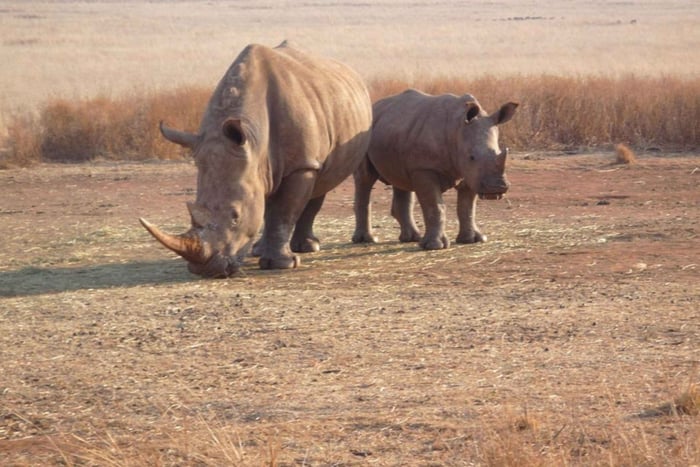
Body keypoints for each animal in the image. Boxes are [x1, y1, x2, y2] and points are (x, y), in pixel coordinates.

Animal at [140, 41, 372, 277]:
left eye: (235, 216)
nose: (206, 270)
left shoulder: (300, 165)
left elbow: (284, 211)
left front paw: (281, 264)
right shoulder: (256, 165)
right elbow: (269, 208)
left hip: (318, 147)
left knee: (321, 181)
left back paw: (307, 248)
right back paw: (262, 250)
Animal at [352, 89, 518, 249]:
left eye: (499, 152)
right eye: (471, 157)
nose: (496, 188)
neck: (457, 129)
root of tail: (375, 106)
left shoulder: (469, 172)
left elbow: (467, 206)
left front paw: (473, 240)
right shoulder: (424, 168)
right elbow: (435, 206)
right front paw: (434, 246)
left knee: (400, 180)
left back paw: (412, 238)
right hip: (362, 133)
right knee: (365, 179)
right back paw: (367, 240)